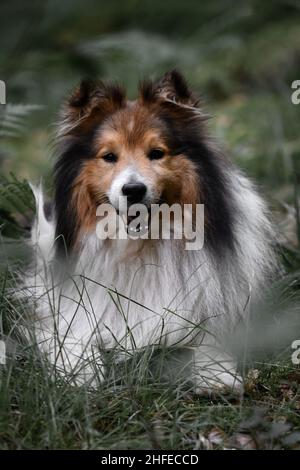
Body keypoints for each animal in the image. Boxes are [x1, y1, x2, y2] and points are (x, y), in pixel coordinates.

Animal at [24, 70, 276, 392]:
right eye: (109, 156)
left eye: (156, 153)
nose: (133, 190)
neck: (140, 245)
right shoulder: (72, 307)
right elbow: (75, 337)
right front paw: (81, 374)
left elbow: (206, 339)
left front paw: (216, 374)